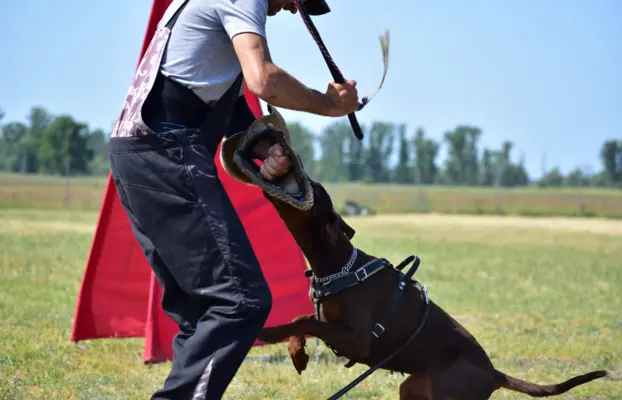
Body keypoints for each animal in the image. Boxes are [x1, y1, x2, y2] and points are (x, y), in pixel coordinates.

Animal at [221, 106, 608, 400]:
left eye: (314, 187)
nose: (284, 152)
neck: (337, 266)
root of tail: (495, 373)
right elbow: (305, 322)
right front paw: (297, 353)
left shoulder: (359, 342)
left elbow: (305, 319)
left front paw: (272, 333)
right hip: (413, 388)